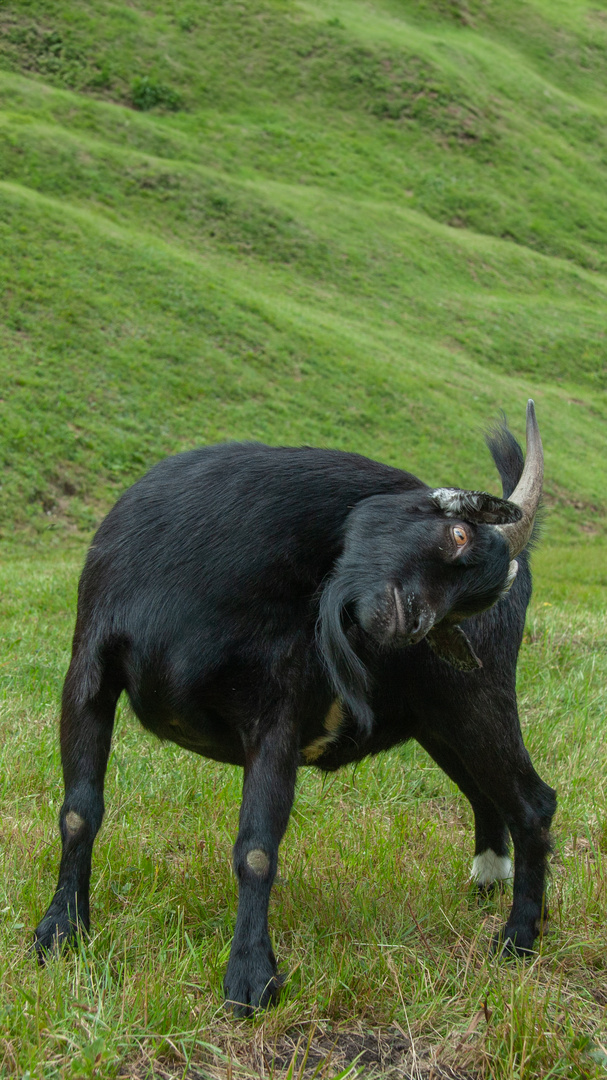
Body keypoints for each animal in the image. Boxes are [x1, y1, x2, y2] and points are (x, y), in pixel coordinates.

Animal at [33, 401, 552, 1015]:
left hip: (478, 703)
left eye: (467, 607)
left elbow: (256, 849)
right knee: (484, 792)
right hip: (440, 723)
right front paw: (60, 932)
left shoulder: (277, 714)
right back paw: (489, 880)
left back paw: (517, 940)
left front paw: (251, 978)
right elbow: (78, 812)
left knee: (533, 803)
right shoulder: (88, 671)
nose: (413, 622)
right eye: (457, 532)